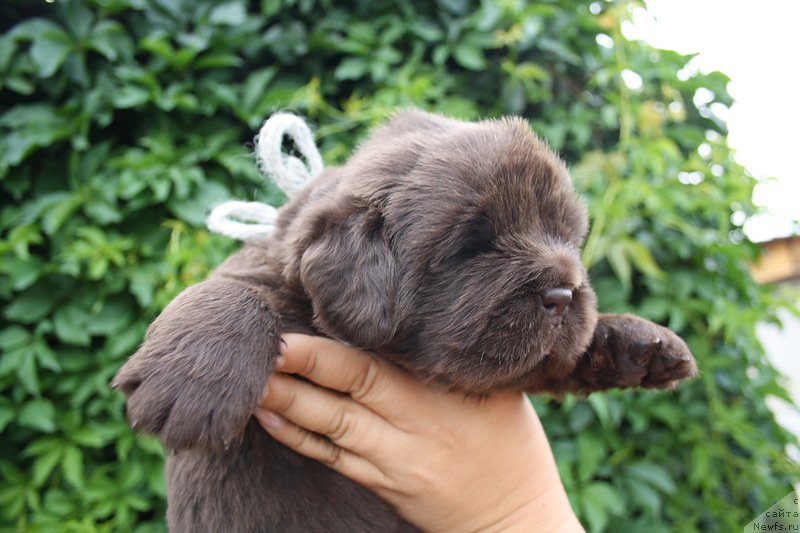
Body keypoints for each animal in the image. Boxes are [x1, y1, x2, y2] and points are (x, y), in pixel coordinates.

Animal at [111, 110, 692, 528]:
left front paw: (643, 344)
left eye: (568, 237)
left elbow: (558, 361)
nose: (564, 292)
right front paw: (191, 386)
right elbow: (231, 289)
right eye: (474, 245)